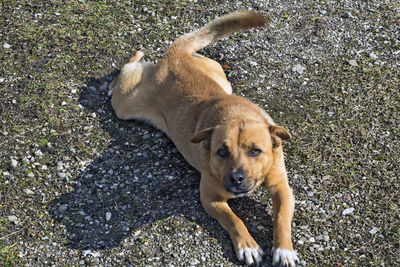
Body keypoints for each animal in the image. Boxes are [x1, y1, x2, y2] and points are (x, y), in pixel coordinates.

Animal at [109, 11, 296, 266]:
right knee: (126, 69)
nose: (236, 179)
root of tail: (175, 55)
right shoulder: (210, 198)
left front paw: (284, 249)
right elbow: (234, 220)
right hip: (125, 104)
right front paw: (247, 245)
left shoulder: (282, 187)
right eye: (221, 152)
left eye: (255, 151)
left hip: (221, 78)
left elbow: (282, 218)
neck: (238, 116)